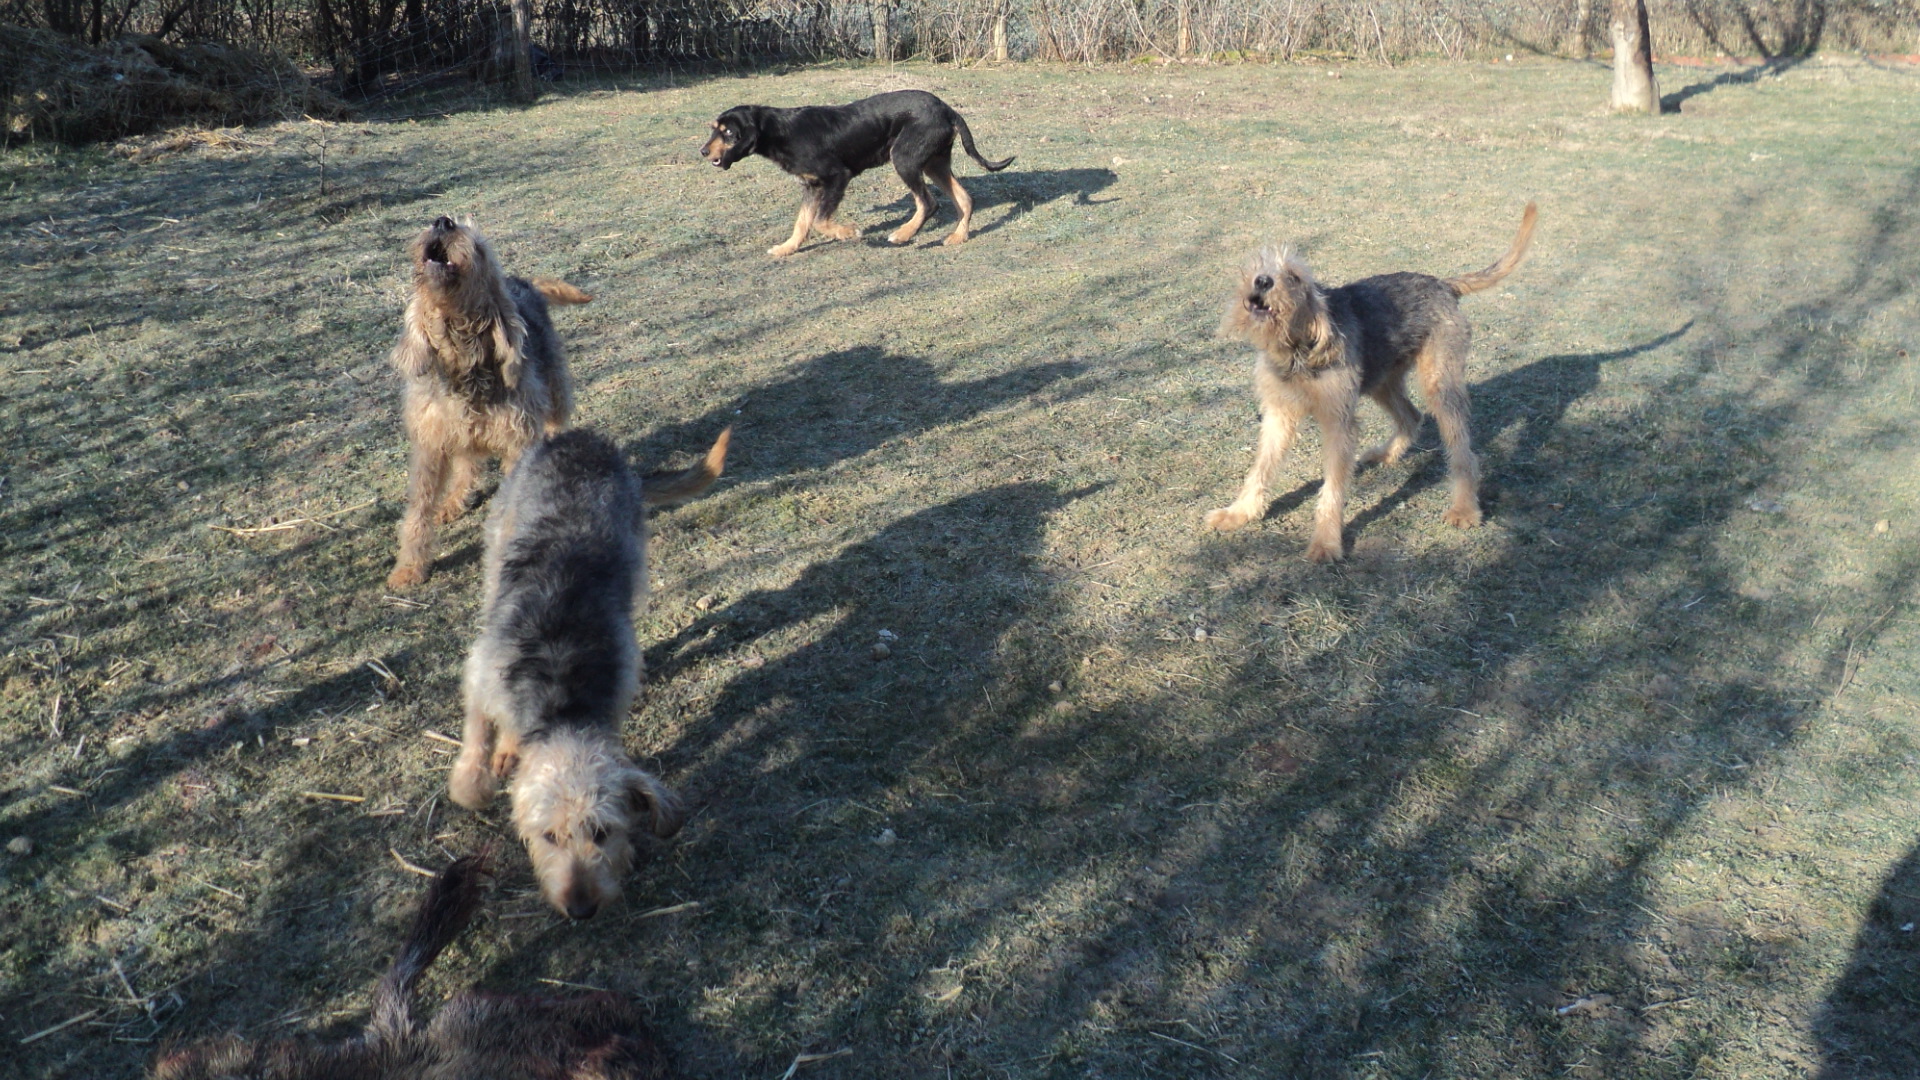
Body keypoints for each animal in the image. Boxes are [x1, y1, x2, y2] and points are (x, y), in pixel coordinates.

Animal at [445, 424, 729, 910]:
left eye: (602, 832)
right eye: (548, 836)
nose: (580, 908)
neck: (562, 700)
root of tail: (581, 436)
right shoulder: (481, 673)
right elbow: (477, 738)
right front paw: (473, 783)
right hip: (498, 538)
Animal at [698, 88, 1013, 255]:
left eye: (728, 133)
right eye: (714, 129)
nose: (703, 152)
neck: (779, 131)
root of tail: (947, 108)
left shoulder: (837, 176)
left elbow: (820, 222)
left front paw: (848, 232)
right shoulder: (811, 186)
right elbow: (802, 222)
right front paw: (787, 248)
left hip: (904, 159)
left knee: (929, 202)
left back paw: (902, 234)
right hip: (933, 162)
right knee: (965, 199)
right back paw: (958, 237)